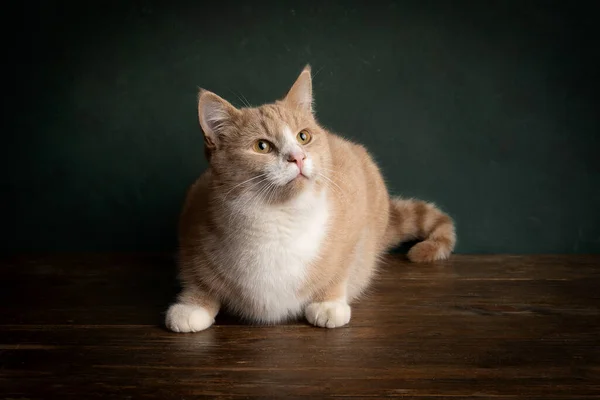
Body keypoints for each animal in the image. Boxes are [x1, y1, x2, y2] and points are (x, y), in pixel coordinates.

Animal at [164, 65, 454, 332]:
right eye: (262, 146)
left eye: (303, 136)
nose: (298, 157)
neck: (278, 219)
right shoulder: (192, 221)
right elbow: (197, 276)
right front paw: (192, 305)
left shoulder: (355, 220)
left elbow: (343, 267)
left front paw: (329, 303)